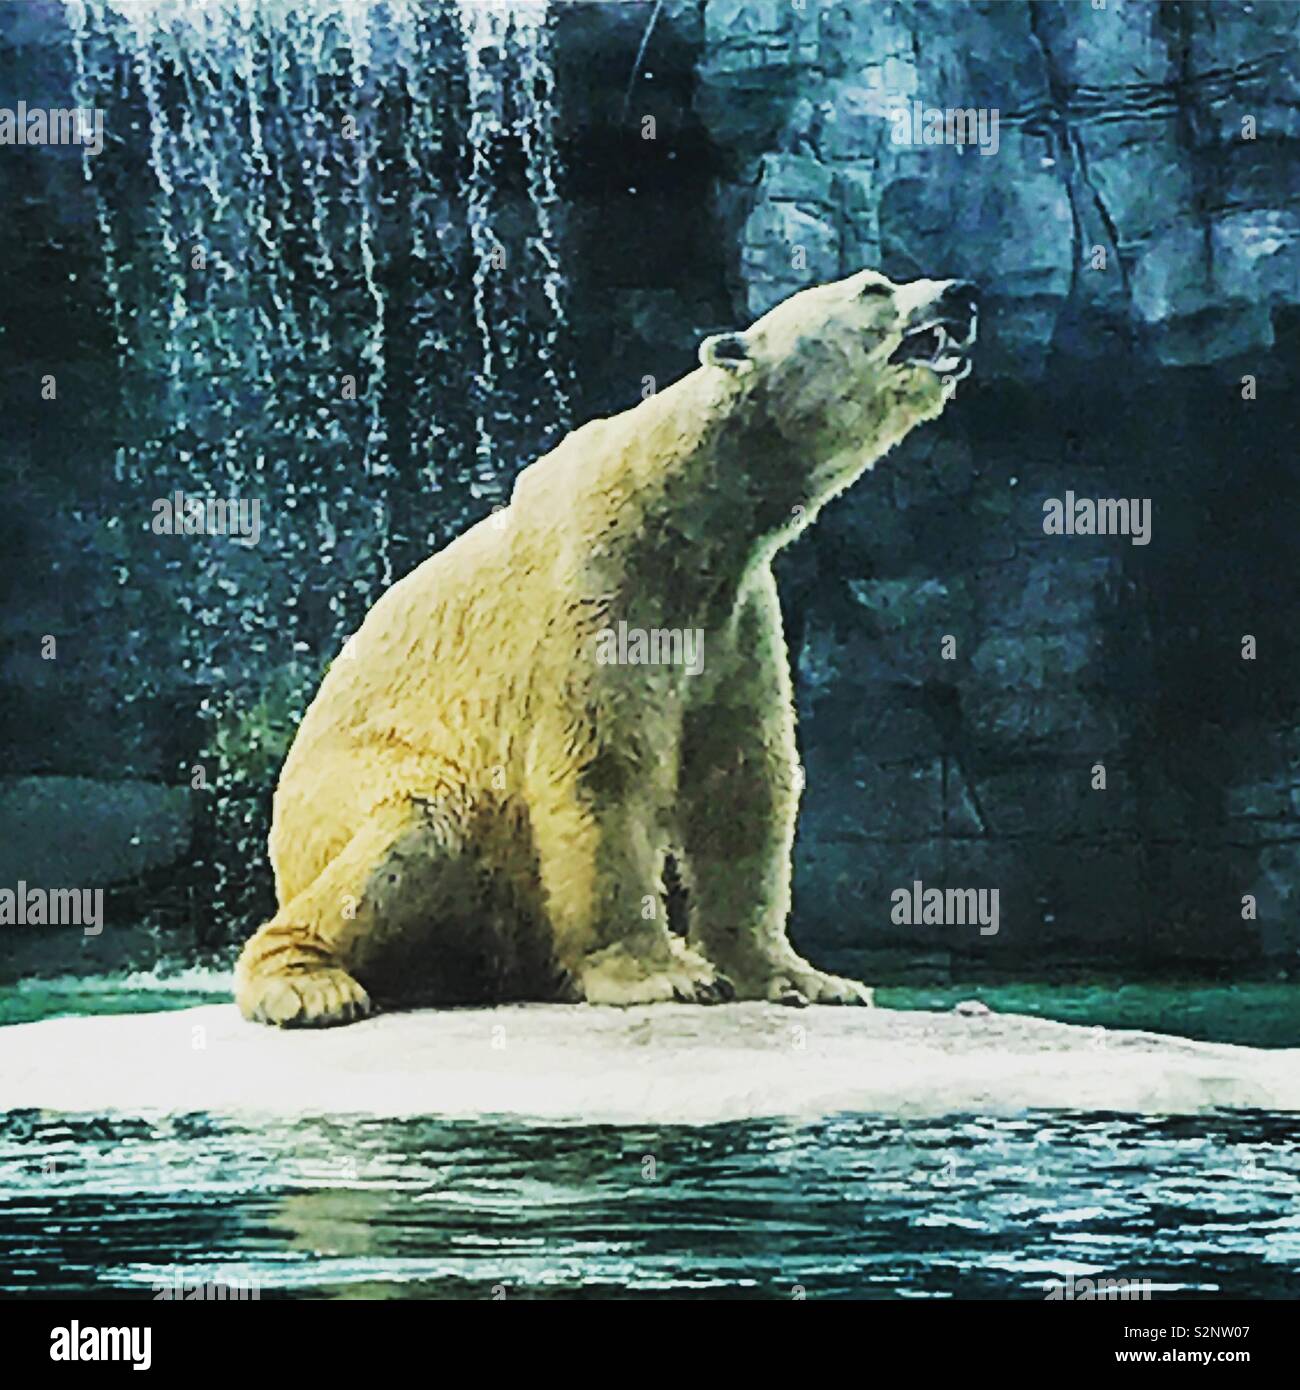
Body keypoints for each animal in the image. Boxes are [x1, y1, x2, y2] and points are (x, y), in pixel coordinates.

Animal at [234, 268, 977, 1026]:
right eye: (874, 288)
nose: (959, 292)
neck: (683, 507)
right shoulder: (598, 584)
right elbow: (601, 765)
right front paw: (662, 973)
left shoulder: (735, 612)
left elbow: (742, 779)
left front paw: (802, 976)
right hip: (350, 797)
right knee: (419, 821)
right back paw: (308, 984)